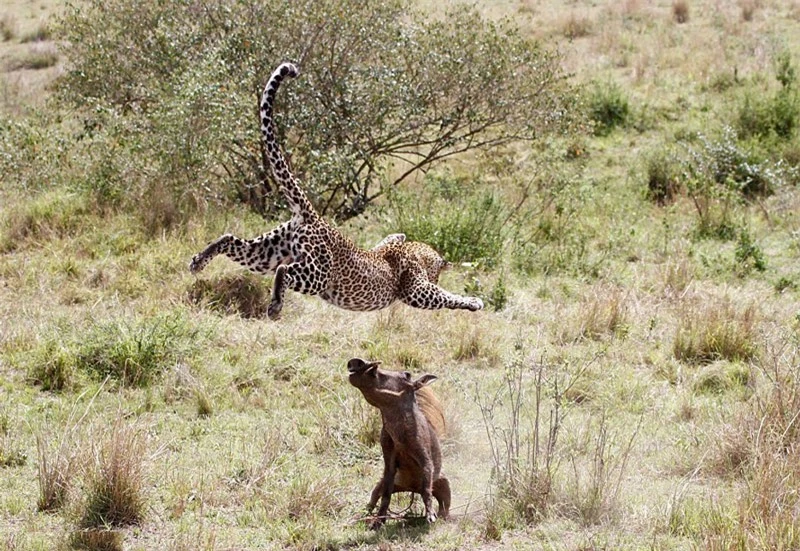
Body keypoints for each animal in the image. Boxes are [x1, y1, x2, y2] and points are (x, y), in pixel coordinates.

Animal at [191, 61, 484, 322]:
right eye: (436, 275)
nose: (437, 275)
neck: (415, 252)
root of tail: (314, 217)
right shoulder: (416, 290)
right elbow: (445, 295)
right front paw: (473, 301)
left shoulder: (391, 243)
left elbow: (394, 236)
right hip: (317, 274)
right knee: (285, 271)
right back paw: (274, 306)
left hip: (267, 252)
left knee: (230, 239)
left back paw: (197, 261)